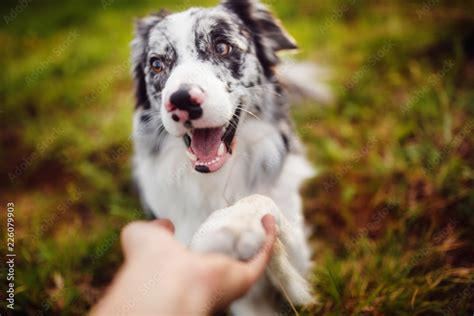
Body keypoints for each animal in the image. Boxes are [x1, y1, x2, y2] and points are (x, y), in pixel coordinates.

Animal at [131, 1, 322, 314]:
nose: (181, 101)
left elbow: (260, 202)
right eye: (157, 64)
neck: (219, 177)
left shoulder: (301, 267)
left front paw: (229, 226)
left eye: (222, 47)